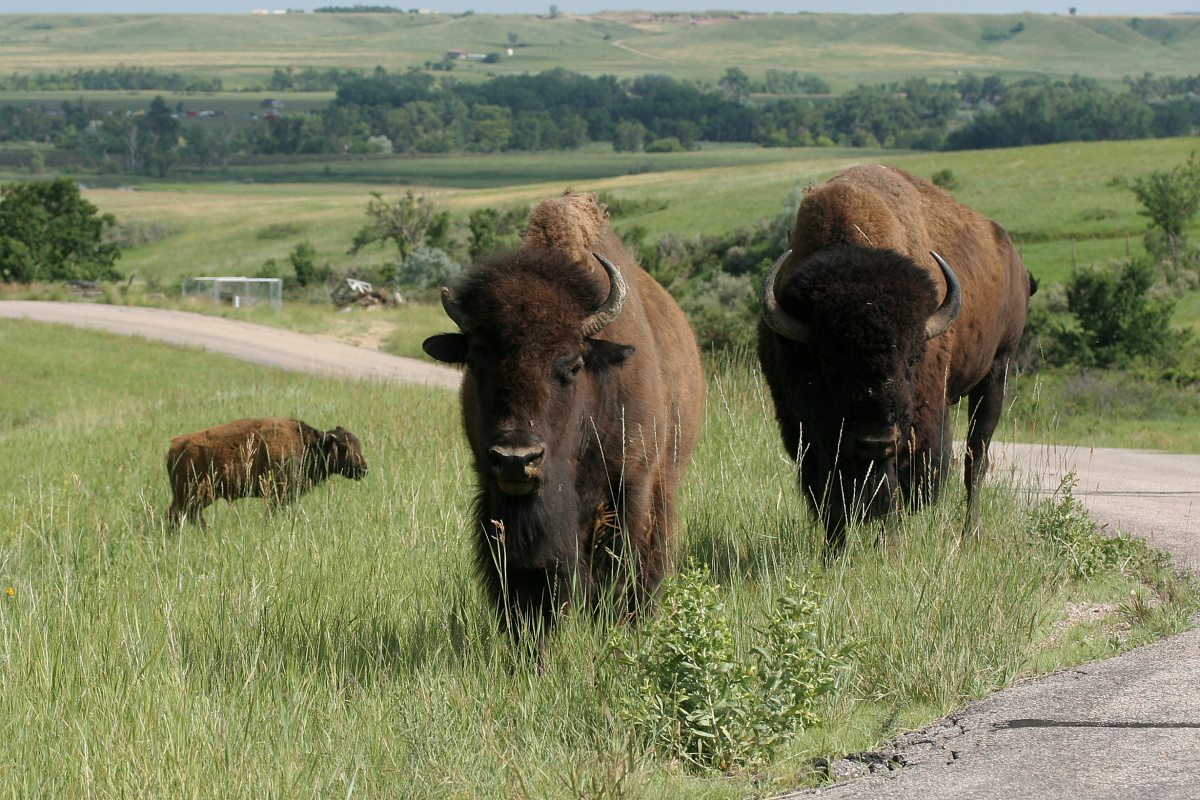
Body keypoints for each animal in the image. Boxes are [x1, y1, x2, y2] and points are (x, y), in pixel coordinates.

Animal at [166, 417, 367, 527]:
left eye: (358, 444)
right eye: (343, 448)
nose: (363, 469)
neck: (309, 445)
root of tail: (177, 444)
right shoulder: (281, 493)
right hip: (195, 494)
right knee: (183, 514)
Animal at [424, 189, 705, 642]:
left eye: (572, 366)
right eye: (477, 360)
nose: (517, 458)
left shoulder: (630, 484)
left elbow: (620, 568)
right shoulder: (496, 498)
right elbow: (525, 584)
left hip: (664, 479)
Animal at [758, 166, 1032, 544]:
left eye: (912, 358)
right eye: (827, 362)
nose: (876, 441)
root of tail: (1016, 264)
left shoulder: (915, 424)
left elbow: (902, 485)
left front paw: (889, 544)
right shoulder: (804, 427)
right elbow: (830, 492)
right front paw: (835, 549)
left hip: (997, 369)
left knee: (975, 457)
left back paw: (971, 534)